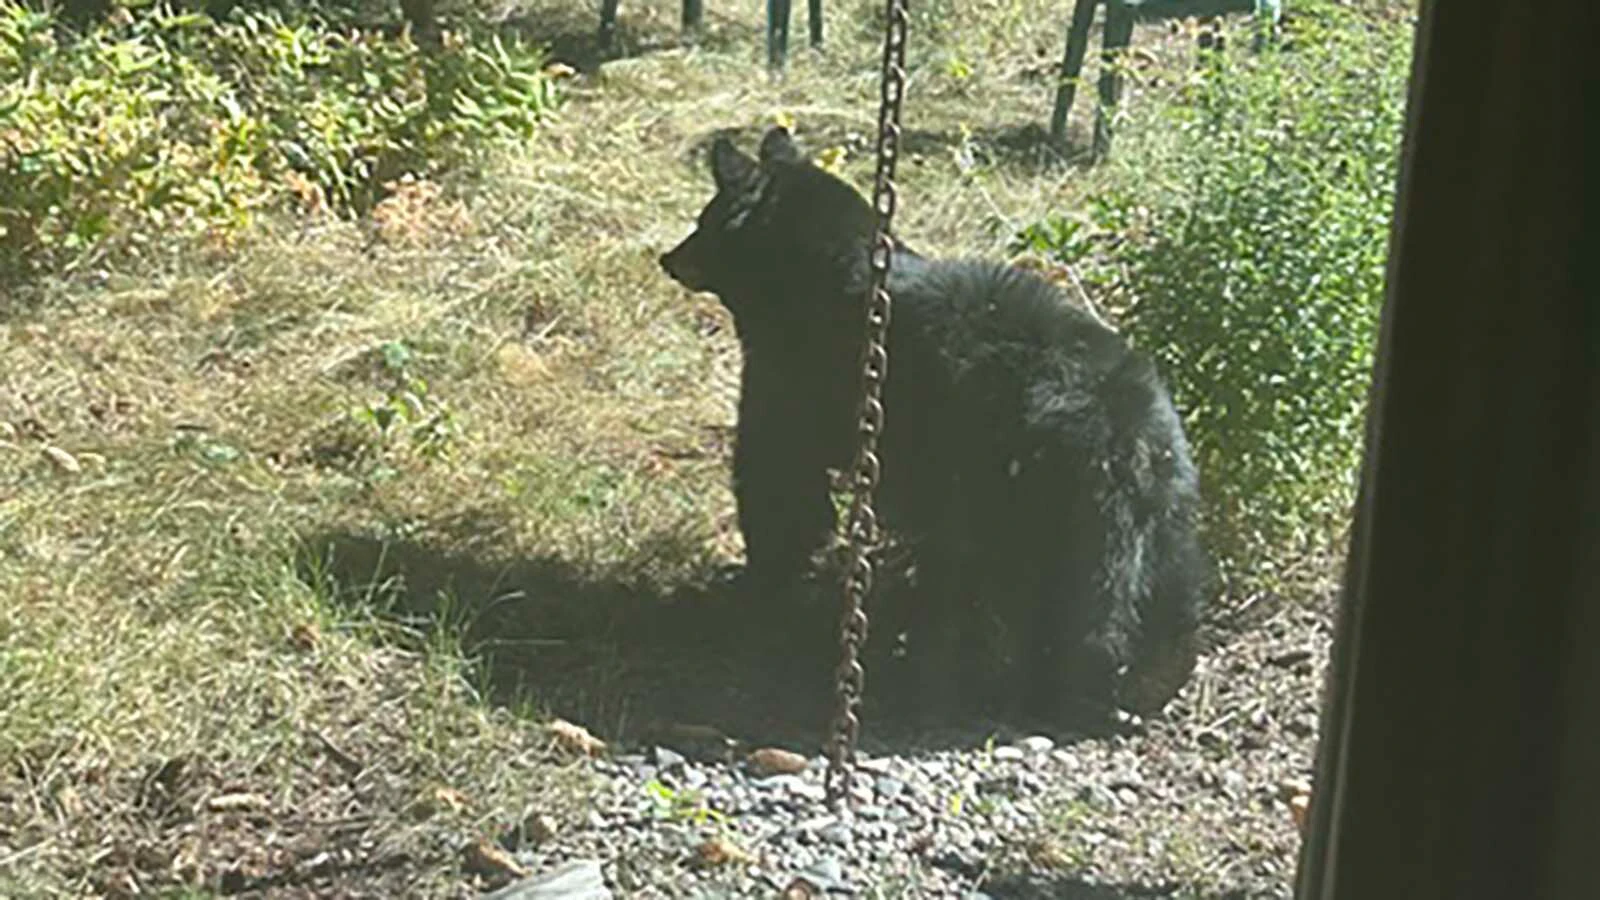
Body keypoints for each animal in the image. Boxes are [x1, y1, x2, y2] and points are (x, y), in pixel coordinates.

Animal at [659, 126, 1214, 725]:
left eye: (704, 219)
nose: (669, 257)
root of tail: (1125, 436)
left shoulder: (786, 385)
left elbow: (777, 485)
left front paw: (758, 588)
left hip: (1020, 505)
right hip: (1163, 514)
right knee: (1155, 599)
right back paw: (1145, 681)